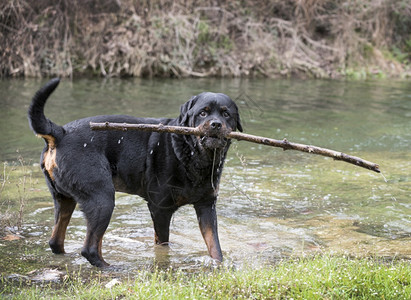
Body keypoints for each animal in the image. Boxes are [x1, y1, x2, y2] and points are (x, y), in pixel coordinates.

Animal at [29, 78, 243, 268]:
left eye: (226, 114)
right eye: (202, 113)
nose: (215, 124)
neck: (193, 154)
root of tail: (60, 133)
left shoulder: (206, 205)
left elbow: (214, 244)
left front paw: (219, 264)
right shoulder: (160, 208)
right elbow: (163, 244)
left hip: (65, 198)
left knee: (57, 241)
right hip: (102, 198)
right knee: (90, 248)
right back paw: (110, 268)